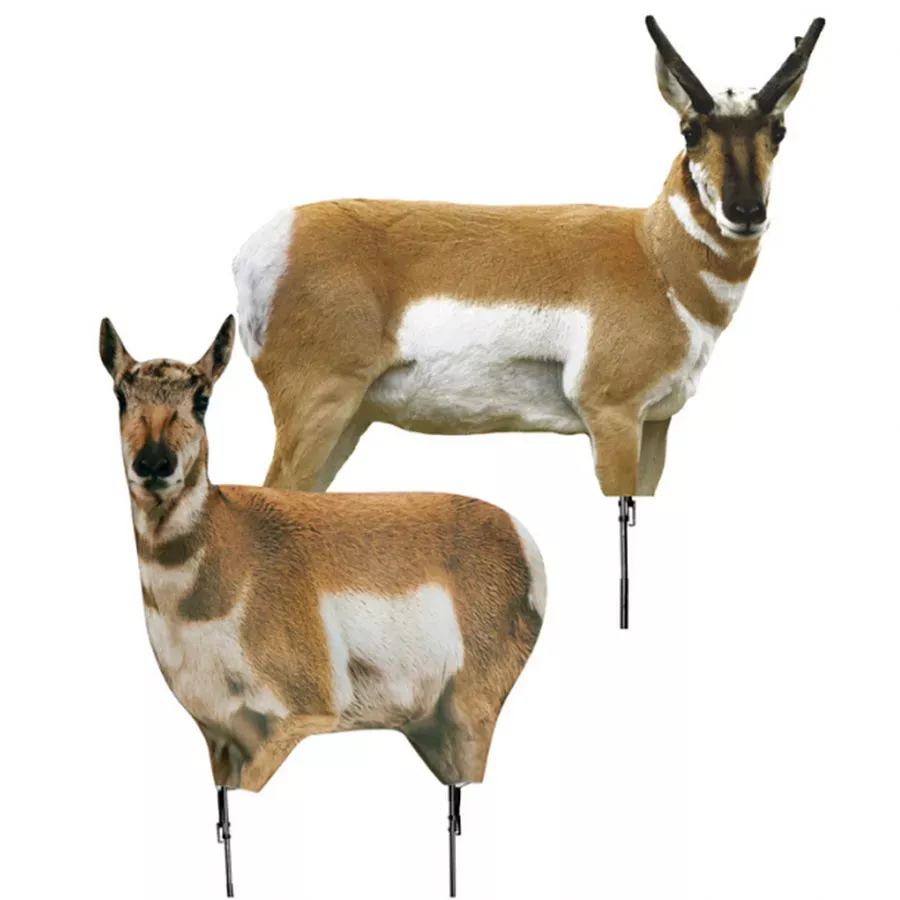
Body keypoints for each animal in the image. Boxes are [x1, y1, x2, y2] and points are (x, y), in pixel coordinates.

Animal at [99, 315, 545, 898]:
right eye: (119, 395)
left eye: (201, 398)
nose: (154, 463)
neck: (229, 543)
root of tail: (517, 532)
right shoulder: (218, 734)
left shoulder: (301, 715)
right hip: (432, 727)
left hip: (472, 713)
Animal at [231, 16, 825, 626]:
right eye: (690, 130)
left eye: (778, 129)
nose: (746, 211)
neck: (652, 252)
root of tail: (266, 241)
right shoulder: (611, 416)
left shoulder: (656, 424)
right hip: (319, 408)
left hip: (350, 420)